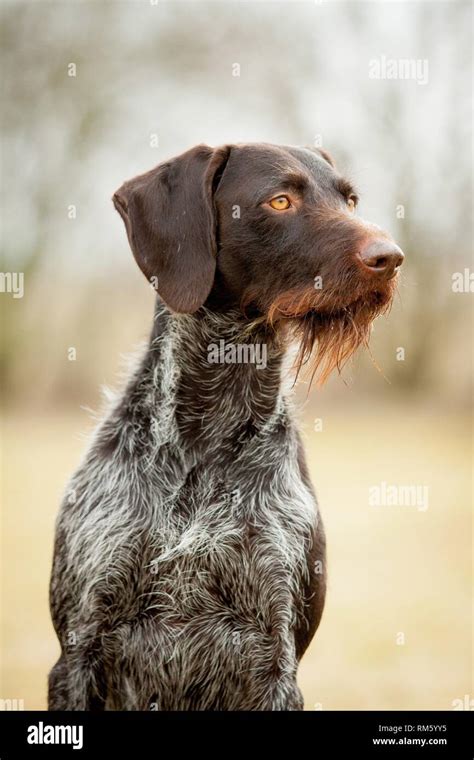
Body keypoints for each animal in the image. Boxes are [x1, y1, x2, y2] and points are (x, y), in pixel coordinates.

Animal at [48, 144, 404, 712]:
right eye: (279, 201)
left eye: (349, 200)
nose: (390, 257)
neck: (205, 435)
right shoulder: (79, 651)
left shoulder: (274, 656)